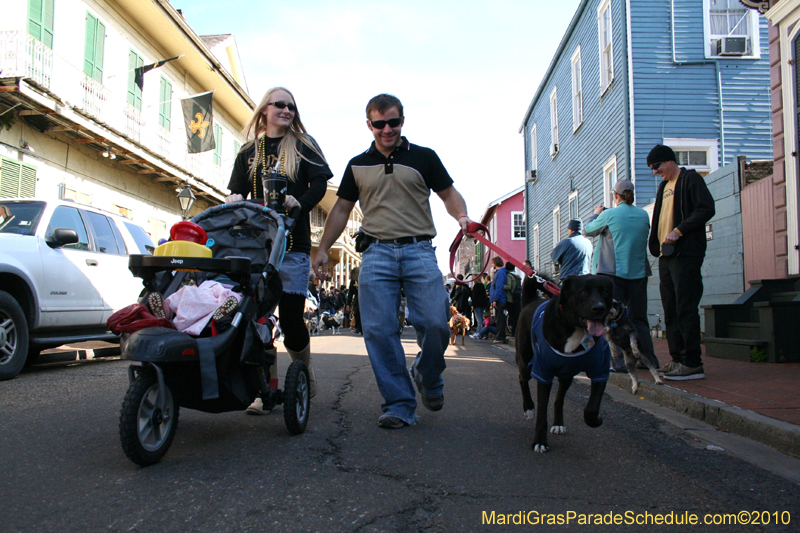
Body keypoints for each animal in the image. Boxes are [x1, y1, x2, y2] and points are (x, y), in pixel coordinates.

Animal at [512, 274, 612, 454]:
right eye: (583, 292)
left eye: (605, 292)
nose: (599, 308)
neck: (575, 329)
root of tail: (532, 301)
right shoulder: (543, 373)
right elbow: (542, 413)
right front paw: (540, 442)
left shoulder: (600, 371)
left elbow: (591, 408)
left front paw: (596, 420)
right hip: (525, 361)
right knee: (522, 379)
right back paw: (528, 408)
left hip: (566, 374)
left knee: (559, 399)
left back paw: (558, 424)